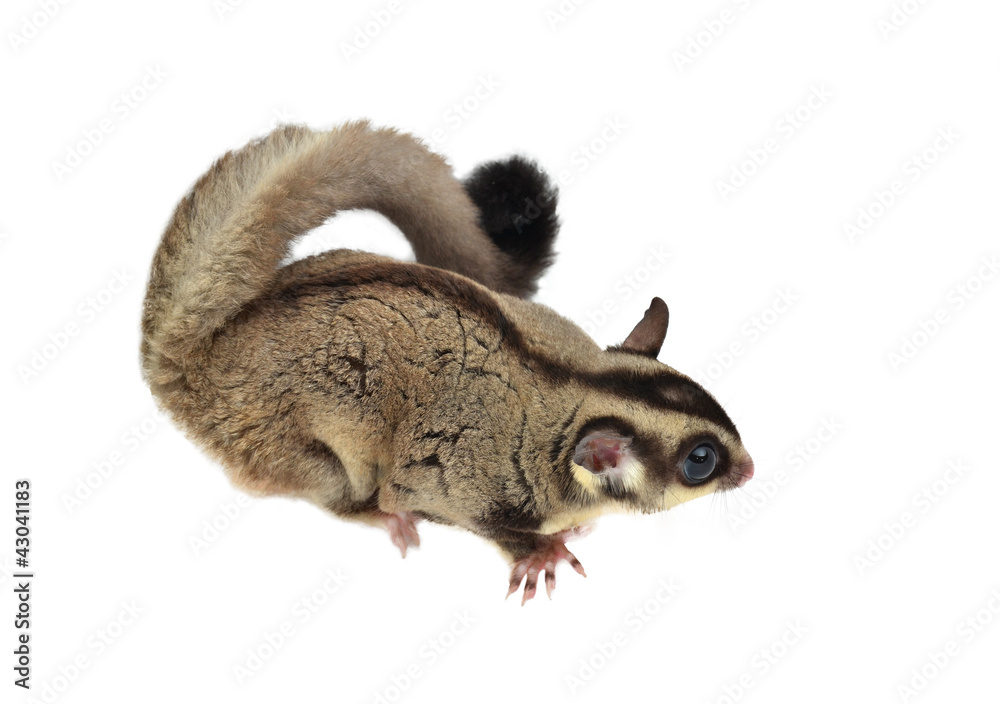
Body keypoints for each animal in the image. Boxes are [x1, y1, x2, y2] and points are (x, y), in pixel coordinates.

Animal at [140, 121, 754, 604]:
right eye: (701, 460)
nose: (749, 470)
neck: (577, 385)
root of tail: (205, 361)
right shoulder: (462, 478)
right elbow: (444, 504)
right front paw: (539, 551)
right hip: (290, 434)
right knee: (341, 483)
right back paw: (377, 514)